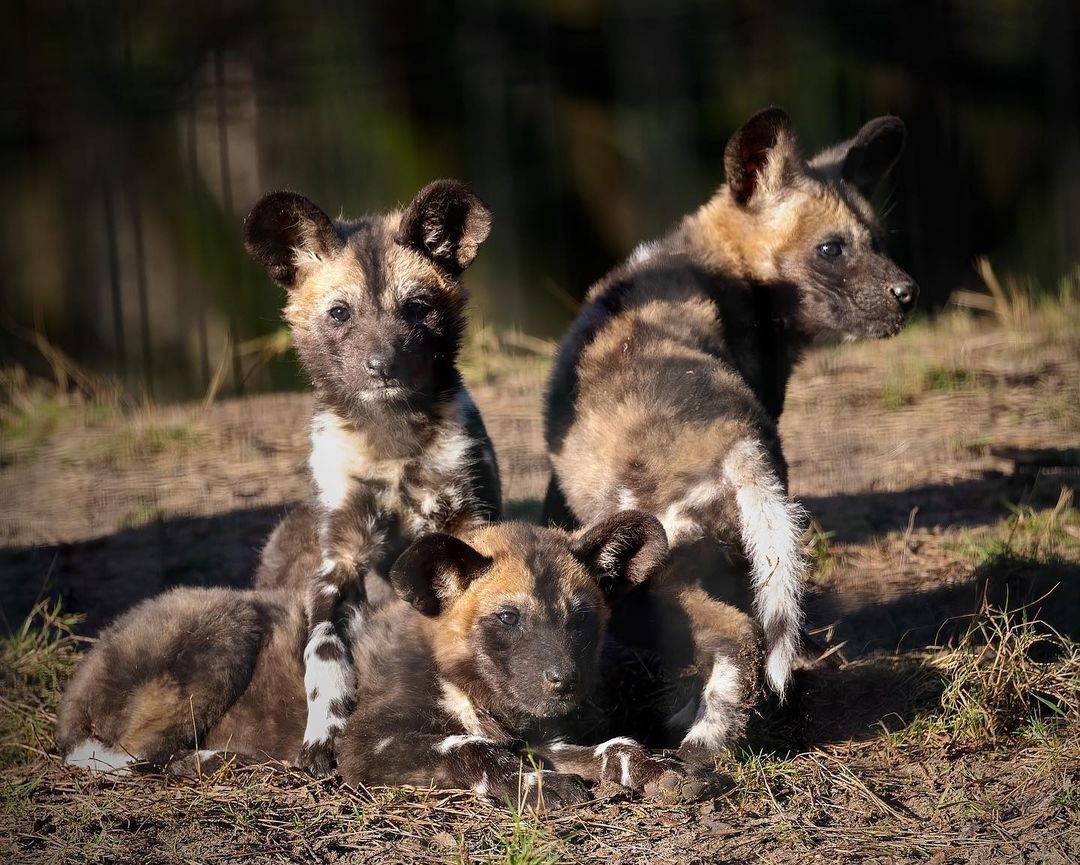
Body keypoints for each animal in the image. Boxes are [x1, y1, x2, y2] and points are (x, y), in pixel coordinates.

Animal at [56, 509, 699, 807]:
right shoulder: (366, 743)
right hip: (226, 629)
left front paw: (655, 769)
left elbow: (613, 747)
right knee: (144, 756)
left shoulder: (543, 736)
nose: (563, 681)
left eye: (581, 618)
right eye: (509, 619)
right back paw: (231, 764)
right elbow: (470, 750)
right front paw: (536, 788)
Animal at [240, 179, 501, 773]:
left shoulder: (463, 523)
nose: (383, 365)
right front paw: (322, 732)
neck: (392, 439)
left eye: (417, 308)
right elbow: (322, 650)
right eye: (340, 313)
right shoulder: (340, 559)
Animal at [544, 106, 915, 755]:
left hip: (653, 574)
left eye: (877, 242)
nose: (908, 294)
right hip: (737, 550)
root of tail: (737, 444)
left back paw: (704, 742)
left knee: (735, 637)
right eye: (833, 248)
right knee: (751, 632)